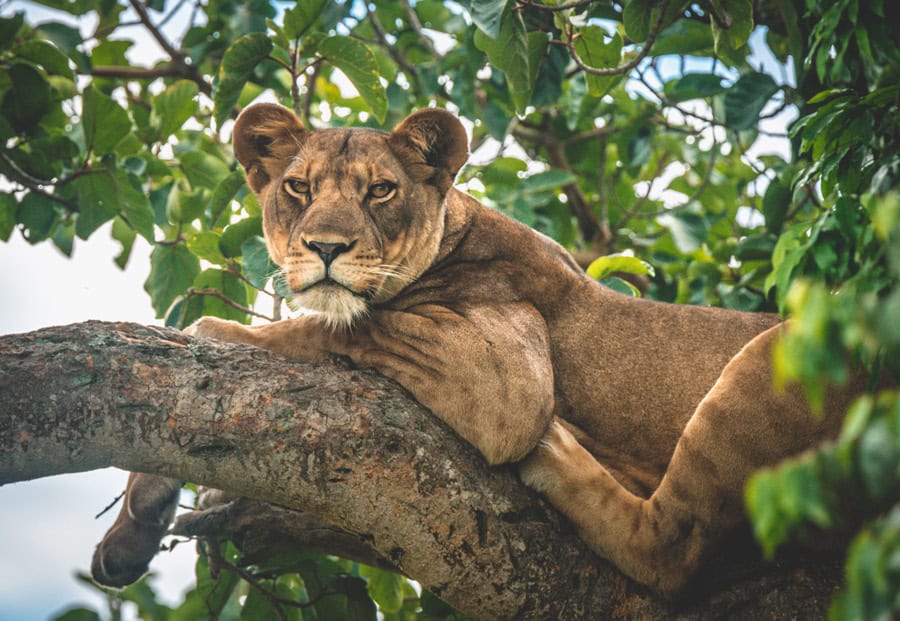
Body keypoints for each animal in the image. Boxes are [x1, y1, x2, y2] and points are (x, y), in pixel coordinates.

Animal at [92, 103, 871, 597]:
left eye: (381, 191)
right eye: (298, 188)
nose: (325, 248)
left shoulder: (508, 373)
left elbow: (318, 328)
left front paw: (220, 335)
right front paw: (133, 532)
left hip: (780, 352)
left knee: (672, 552)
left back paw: (557, 454)